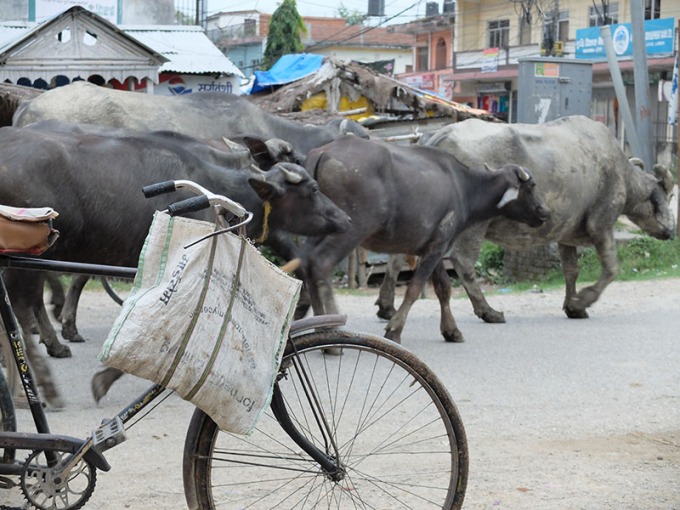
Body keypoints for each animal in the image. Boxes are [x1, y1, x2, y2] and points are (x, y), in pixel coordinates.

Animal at [300, 133, 548, 344]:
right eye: (532, 185)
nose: (544, 212)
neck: (463, 188)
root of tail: (324, 152)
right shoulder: (439, 246)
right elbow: (415, 288)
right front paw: (394, 329)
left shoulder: (432, 248)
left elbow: (443, 288)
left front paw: (451, 330)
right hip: (351, 230)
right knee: (320, 264)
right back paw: (329, 332)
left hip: (317, 232)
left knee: (306, 265)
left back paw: (310, 321)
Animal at [374, 115, 676, 322]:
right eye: (664, 195)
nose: (671, 231)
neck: (619, 172)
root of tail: (439, 134)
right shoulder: (601, 226)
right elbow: (611, 269)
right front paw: (584, 300)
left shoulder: (565, 234)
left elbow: (571, 270)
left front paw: (572, 305)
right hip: (473, 227)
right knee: (463, 262)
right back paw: (487, 311)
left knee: (397, 257)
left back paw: (387, 306)